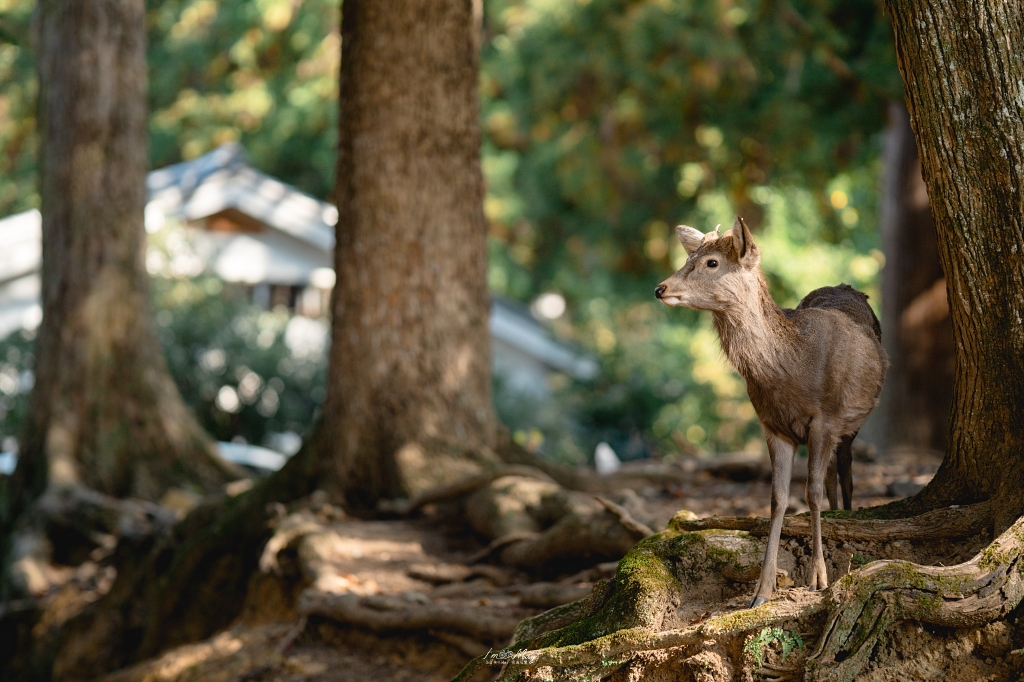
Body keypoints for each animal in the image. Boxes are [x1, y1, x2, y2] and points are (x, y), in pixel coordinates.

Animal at [655, 218, 888, 606]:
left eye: (712, 262)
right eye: (690, 257)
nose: (661, 288)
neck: (790, 369)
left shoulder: (825, 418)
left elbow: (810, 492)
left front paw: (819, 578)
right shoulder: (772, 426)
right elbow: (778, 499)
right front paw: (763, 590)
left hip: (852, 420)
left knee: (845, 472)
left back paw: (846, 517)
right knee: (830, 476)